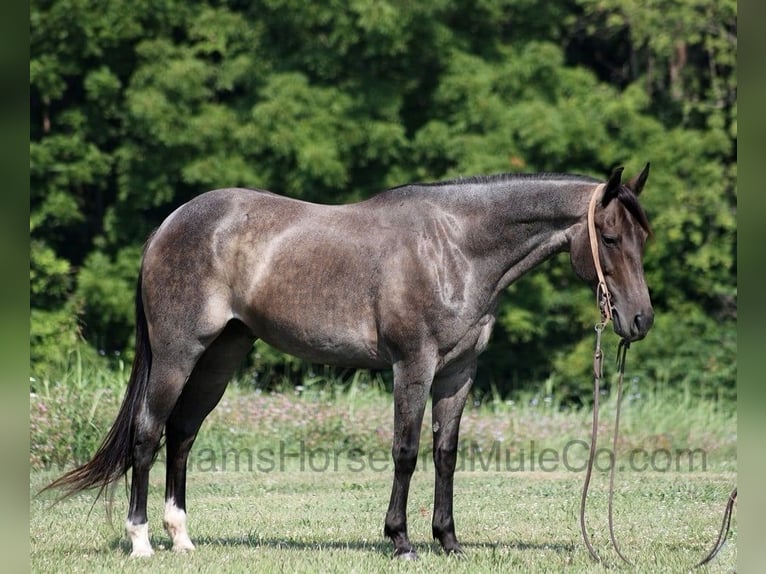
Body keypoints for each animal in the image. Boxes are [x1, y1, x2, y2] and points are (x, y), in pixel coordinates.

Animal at [45, 164, 653, 559]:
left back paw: (182, 538)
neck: (456, 246)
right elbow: (407, 452)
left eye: (642, 237)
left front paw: (449, 541)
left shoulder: (459, 373)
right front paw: (401, 540)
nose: (640, 320)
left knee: (183, 434)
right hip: (177, 355)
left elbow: (446, 454)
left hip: (220, 356)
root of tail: (167, 227)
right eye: (609, 235)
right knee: (149, 433)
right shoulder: (414, 365)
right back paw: (142, 542)